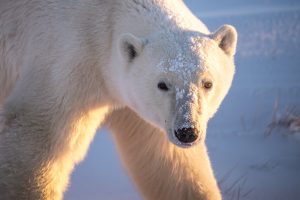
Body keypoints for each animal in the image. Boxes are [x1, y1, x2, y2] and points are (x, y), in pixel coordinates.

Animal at [0, 0, 237, 200]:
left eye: (207, 83)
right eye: (162, 84)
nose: (187, 132)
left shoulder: (140, 106)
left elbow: (170, 164)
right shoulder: (67, 64)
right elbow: (34, 140)